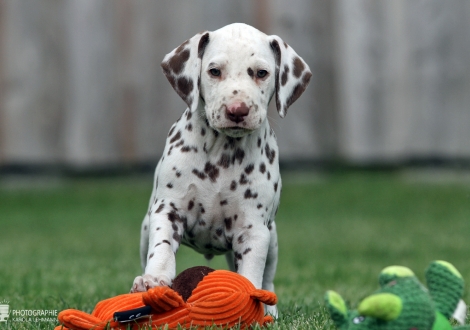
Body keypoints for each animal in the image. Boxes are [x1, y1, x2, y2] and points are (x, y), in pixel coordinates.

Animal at [131, 21, 312, 316]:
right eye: (214, 71)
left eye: (262, 73)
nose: (237, 110)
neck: (222, 153)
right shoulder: (168, 209)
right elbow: (163, 247)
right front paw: (153, 279)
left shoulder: (254, 228)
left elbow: (252, 273)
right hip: (145, 228)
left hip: (272, 239)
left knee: (268, 278)